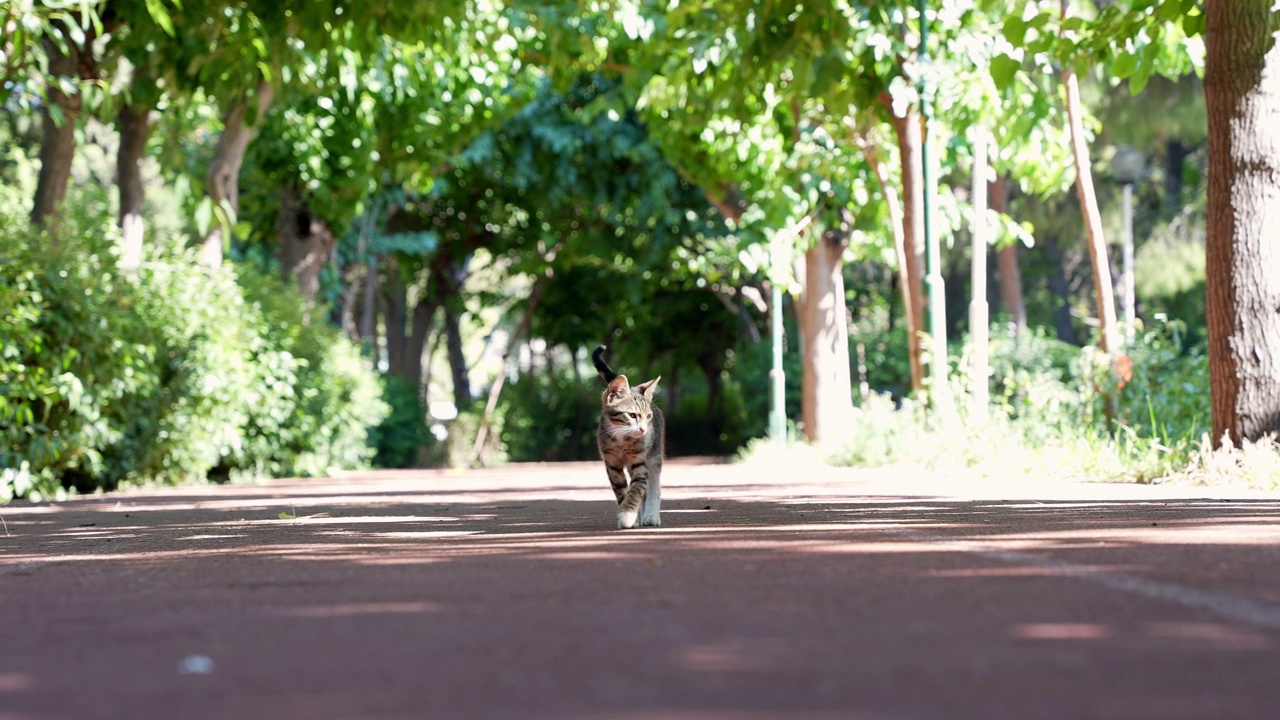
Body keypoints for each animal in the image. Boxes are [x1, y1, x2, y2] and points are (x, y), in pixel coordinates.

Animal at [593, 343, 665, 527]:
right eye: (632, 415)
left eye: (648, 417)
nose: (643, 430)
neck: (621, 440)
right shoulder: (612, 464)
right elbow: (622, 491)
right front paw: (630, 516)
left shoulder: (639, 462)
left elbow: (636, 489)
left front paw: (627, 514)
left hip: (654, 455)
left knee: (654, 486)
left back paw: (651, 516)